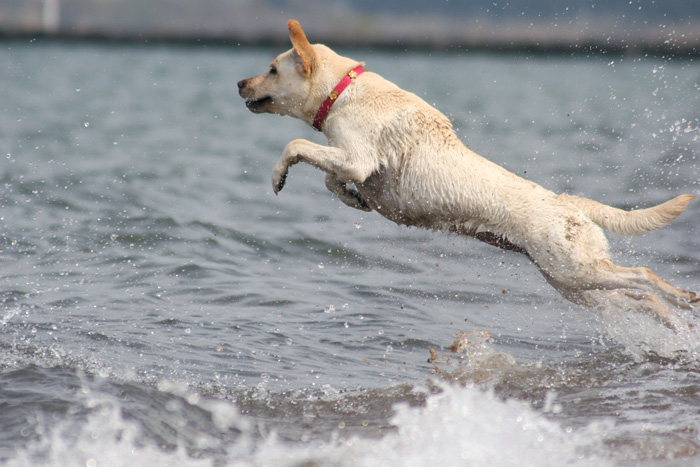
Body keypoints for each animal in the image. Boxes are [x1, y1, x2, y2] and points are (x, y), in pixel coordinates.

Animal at [238, 19, 696, 330]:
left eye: (273, 69)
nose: (240, 82)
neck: (343, 90)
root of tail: (571, 204)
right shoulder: (352, 163)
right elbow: (329, 178)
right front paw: (354, 199)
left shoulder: (357, 158)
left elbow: (296, 147)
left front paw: (278, 176)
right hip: (573, 285)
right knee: (638, 299)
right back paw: (670, 321)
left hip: (576, 272)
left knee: (643, 277)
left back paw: (683, 298)